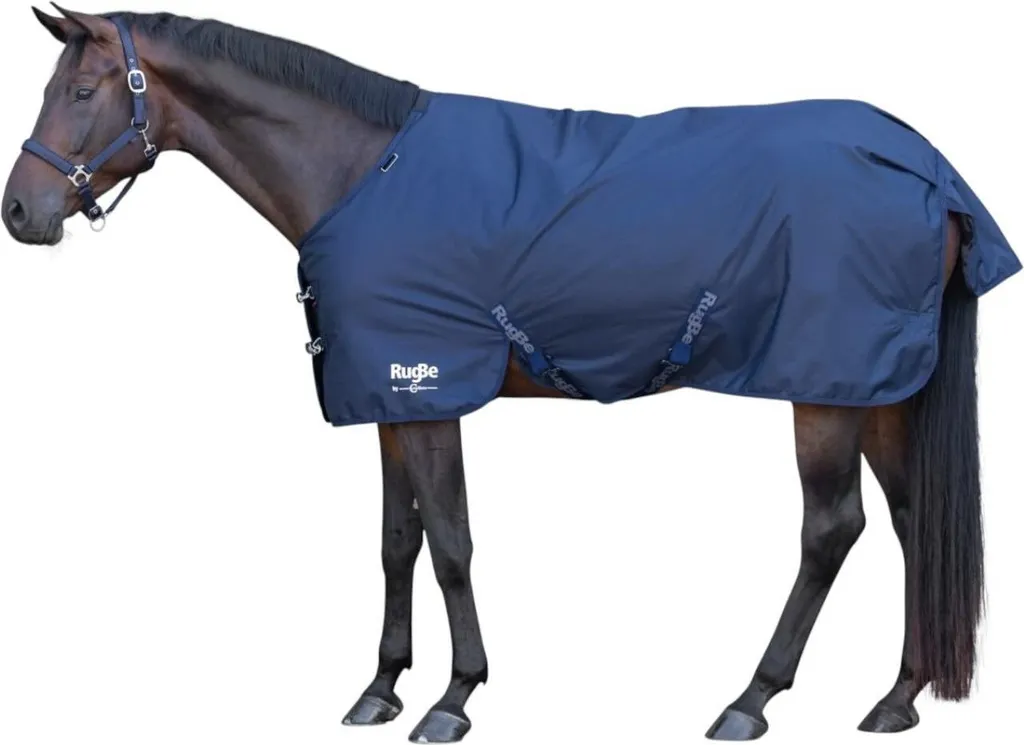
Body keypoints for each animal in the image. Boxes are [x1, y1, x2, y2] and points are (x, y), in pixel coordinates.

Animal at [3, 6, 1019, 743]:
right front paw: (380, 686)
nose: (21, 211)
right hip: (877, 390)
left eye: (83, 89)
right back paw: (898, 696)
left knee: (832, 529)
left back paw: (751, 699)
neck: (363, 172)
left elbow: (451, 542)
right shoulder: (387, 396)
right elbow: (396, 542)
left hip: (824, 391)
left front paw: (453, 697)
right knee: (913, 522)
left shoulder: (428, 391)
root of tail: (929, 168)